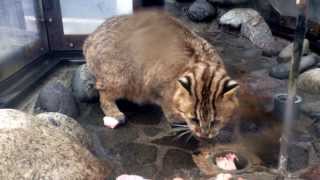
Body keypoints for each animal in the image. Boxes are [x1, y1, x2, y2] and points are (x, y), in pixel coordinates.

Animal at [84, 10, 239, 139]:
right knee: (103, 94)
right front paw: (178, 120)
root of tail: (90, 39)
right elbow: (169, 109)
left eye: (216, 121)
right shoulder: (159, 87)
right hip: (120, 77)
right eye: (194, 118)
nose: (205, 135)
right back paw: (115, 113)